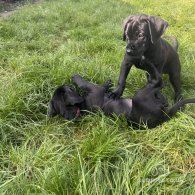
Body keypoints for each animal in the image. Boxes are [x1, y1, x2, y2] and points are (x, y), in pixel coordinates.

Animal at [47, 58, 195, 129]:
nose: (67, 84)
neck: (81, 108)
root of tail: (164, 116)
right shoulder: (95, 89)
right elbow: (83, 82)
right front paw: (75, 76)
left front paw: (108, 83)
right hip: (139, 96)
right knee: (158, 81)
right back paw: (146, 64)